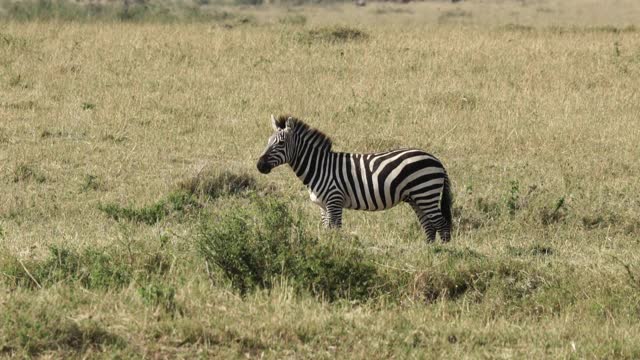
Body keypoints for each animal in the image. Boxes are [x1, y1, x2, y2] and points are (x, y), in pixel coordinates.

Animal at [258, 115, 452, 243]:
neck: (319, 167)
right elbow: (326, 231)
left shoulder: (334, 201)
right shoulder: (323, 206)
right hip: (416, 198)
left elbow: (336, 230)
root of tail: (436, 160)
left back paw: (442, 255)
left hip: (426, 193)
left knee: (441, 225)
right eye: (267, 141)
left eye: (280, 143)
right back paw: (429, 252)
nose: (259, 165)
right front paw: (326, 248)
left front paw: (335, 252)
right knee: (429, 226)